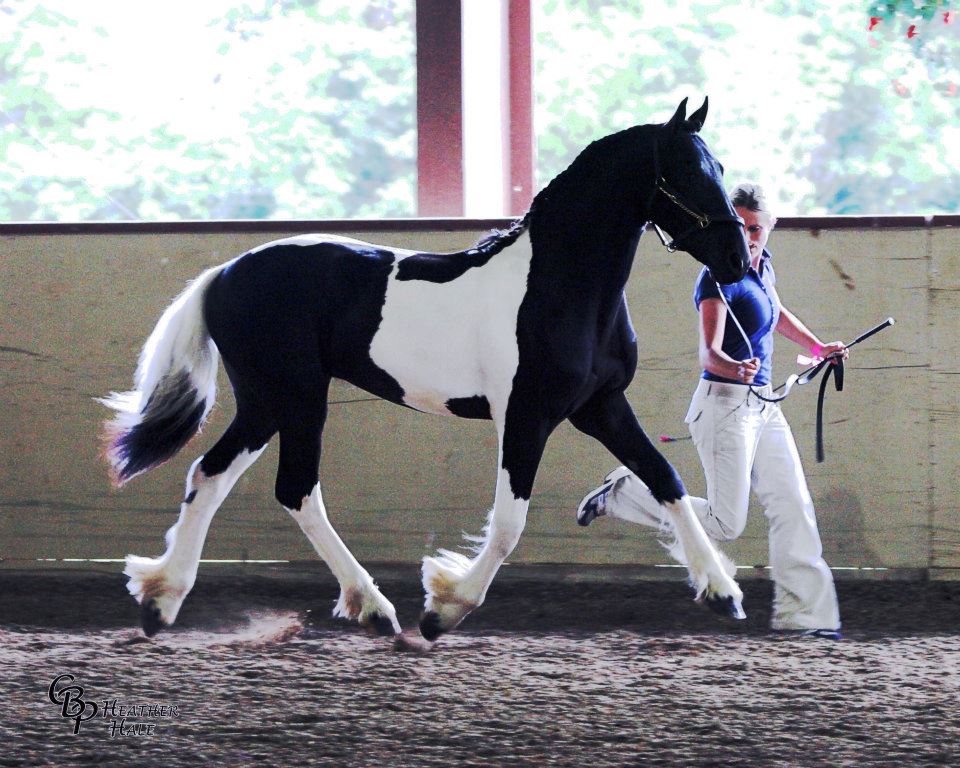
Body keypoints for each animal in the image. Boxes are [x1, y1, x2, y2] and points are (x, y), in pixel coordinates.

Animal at [103, 99, 752, 644]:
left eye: (720, 166)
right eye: (686, 172)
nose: (737, 260)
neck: (560, 288)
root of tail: (227, 271)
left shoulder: (601, 406)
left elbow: (665, 477)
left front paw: (723, 593)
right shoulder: (526, 416)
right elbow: (510, 522)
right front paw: (445, 608)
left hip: (270, 404)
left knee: (215, 476)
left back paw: (164, 602)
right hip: (293, 397)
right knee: (289, 487)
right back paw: (369, 607)